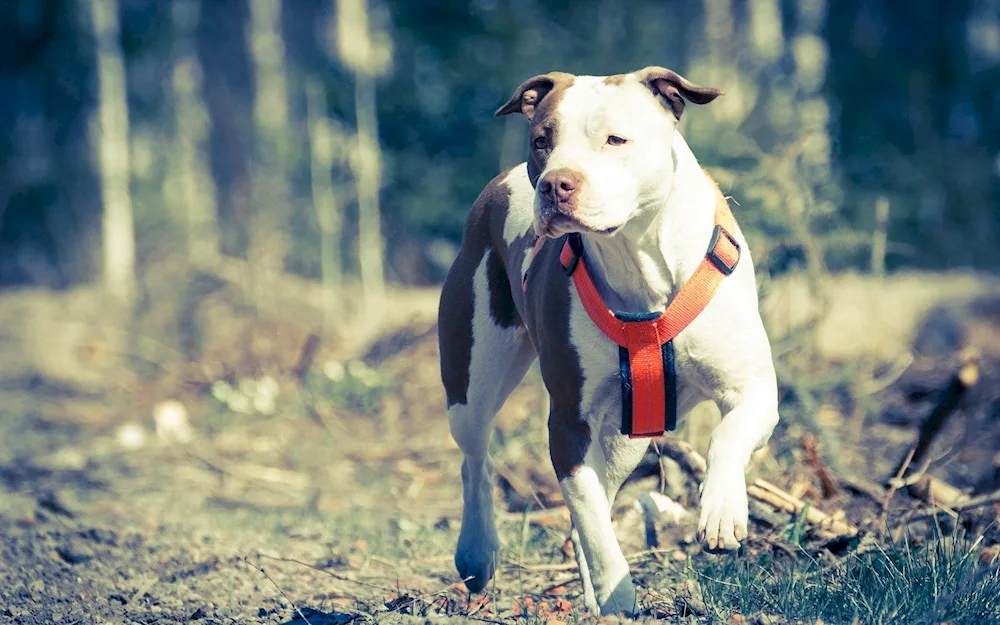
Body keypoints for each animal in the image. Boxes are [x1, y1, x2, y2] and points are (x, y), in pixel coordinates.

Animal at [438, 67, 780, 616]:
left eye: (615, 139)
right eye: (542, 141)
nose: (556, 183)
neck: (636, 257)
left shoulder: (753, 391)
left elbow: (727, 436)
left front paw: (721, 511)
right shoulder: (569, 423)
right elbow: (591, 516)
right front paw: (617, 591)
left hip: (624, 438)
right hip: (472, 381)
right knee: (478, 458)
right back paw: (477, 551)